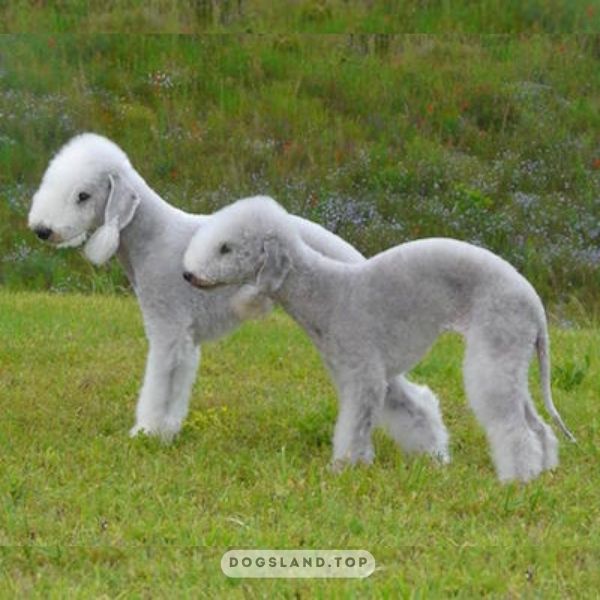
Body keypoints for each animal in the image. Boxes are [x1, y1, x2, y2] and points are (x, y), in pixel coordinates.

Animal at [184, 197, 576, 482]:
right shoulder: (366, 373)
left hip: (495, 348)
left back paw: (517, 479)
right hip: (512, 357)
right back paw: (545, 469)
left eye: (225, 248)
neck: (324, 293)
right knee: (537, 424)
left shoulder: (364, 374)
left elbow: (354, 425)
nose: (187, 274)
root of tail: (534, 303)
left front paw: (343, 468)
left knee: (514, 427)